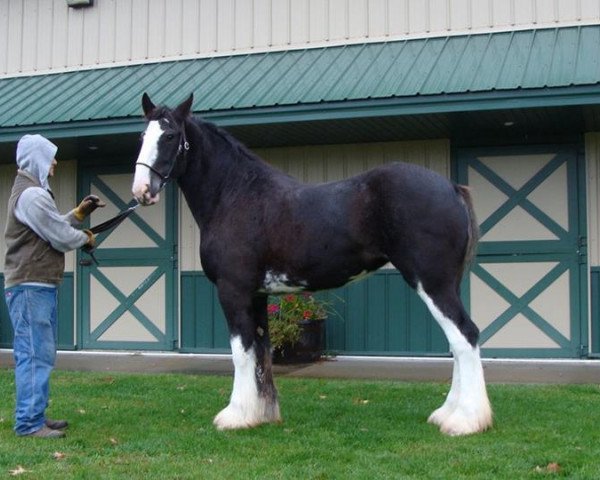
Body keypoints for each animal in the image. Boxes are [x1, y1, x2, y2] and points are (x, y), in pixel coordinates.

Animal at [131, 93, 492, 436]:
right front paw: (261, 415)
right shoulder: (257, 295)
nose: (142, 190)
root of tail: (451, 188)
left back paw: (465, 421)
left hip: (432, 283)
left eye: (170, 136)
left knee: (465, 336)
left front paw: (235, 416)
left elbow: (241, 352)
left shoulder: (233, 291)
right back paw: (448, 414)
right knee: (458, 340)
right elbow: (261, 350)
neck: (234, 195)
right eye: (143, 135)